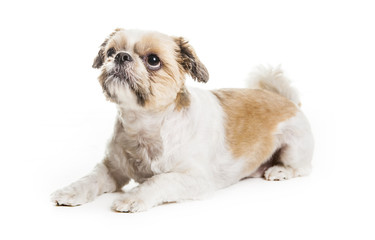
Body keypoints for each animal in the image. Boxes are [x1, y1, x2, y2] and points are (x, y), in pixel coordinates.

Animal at [50, 28, 314, 212]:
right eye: (111, 52)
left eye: (153, 60)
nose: (122, 56)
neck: (146, 127)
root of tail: (286, 99)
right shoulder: (112, 168)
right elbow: (91, 178)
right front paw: (70, 191)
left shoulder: (195, 179)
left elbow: (158, 181)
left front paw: (134, 197)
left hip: (293, 147)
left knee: (302, 168)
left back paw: (280, 170)